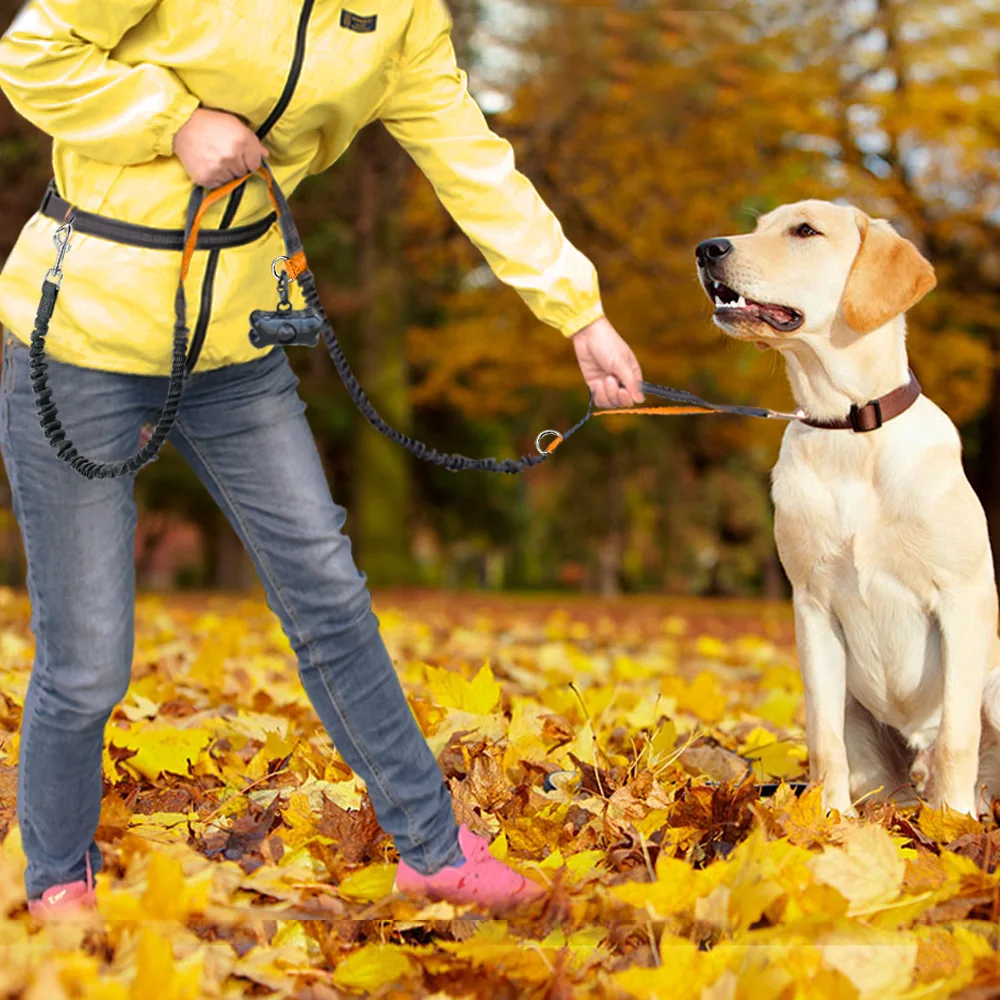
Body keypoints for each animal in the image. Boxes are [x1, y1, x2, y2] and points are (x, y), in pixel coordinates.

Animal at [696, 199, 1000, 816]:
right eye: (757, 225)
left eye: (805, 231)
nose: (706, 248)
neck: (852, 428)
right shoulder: (812, 606)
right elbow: (822, 736)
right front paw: (827, 820)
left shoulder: (963, 598)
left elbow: (958, 736)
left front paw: (953, 824)